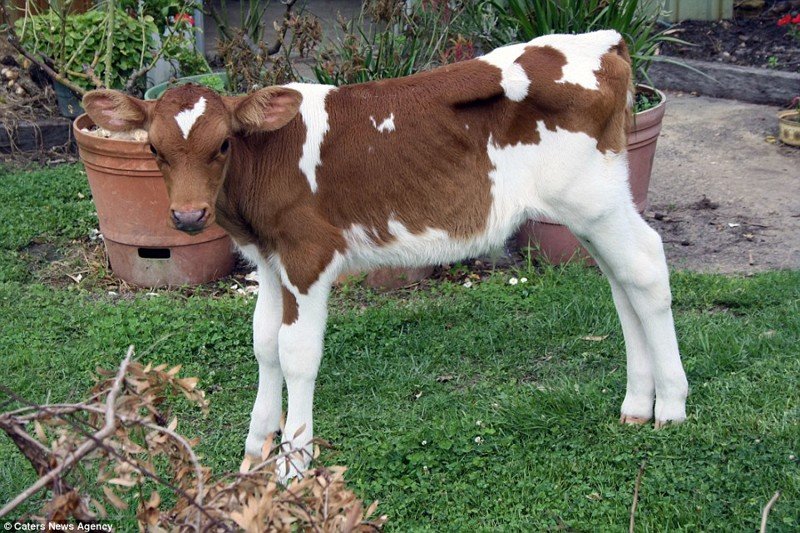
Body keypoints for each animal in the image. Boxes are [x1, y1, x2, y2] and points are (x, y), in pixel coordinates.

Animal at [83, 30, 689, 479]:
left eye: (223, 144)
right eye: (155, 149)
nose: (188, 217)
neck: (268, 161)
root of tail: (604, 42)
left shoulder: (308, 254)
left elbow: (297, 352)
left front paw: (293, 467)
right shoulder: (269, 259)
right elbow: (264, 344)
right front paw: (254, 455)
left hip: (593, 199)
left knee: (646, 268)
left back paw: (672, 407)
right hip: (592, 208)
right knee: (620, 281)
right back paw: (637, 404)